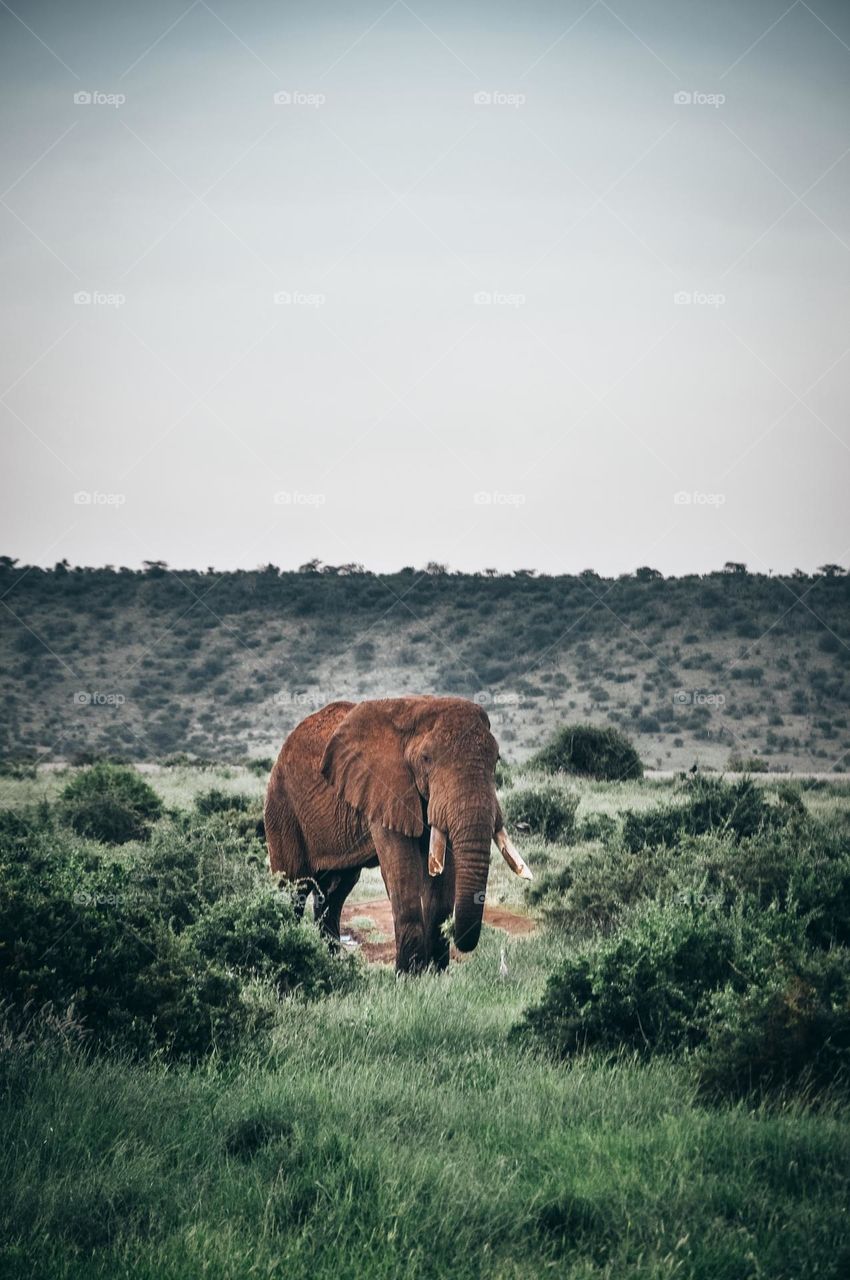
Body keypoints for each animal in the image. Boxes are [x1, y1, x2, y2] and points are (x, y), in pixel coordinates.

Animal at [264, 696, 532, 973]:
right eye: (426, 759)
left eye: (496, 759)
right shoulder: (384, 789)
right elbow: (402, 871)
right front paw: (409, 975)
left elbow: (443, 876)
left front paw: (436, 973)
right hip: (282, 809)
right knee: (293, 888)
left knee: (333, 895)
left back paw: (332, 963)